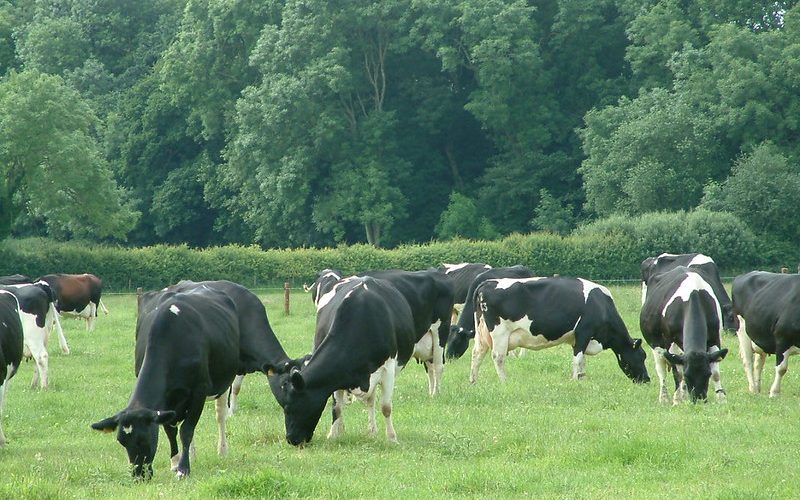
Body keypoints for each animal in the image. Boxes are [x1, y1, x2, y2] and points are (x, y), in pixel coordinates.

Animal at [92, 284, 239, 478]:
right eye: (122, 441)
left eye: (144, 439)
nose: (138, 475)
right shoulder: (167, 403)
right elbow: (171, 430)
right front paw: (175, 462)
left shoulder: (199, 391)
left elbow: (186, 430)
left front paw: (183, 469)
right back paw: (191, 455)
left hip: (223, 383)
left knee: (220, 415)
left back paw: (222, 450)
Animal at [266, 278, 416, 446]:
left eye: (290, 408)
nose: (291, 439)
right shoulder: (336, 377)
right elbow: (336, 408)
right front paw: (333, 435)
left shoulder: (388, 369)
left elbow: (386, 407)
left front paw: (392, 438)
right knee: (367, 401)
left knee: (371, 401)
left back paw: (372, 432)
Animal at [468, 276, 648, 384]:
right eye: (642, 356)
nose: (647, 380)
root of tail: (487, 283)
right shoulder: (584, 332)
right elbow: (577, 359)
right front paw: (575, 380)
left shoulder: (578, 338)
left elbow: (582, 360)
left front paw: (582, 378)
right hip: (500, 333)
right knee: (497, 357)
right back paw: (504, 381)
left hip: (482, 332)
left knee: (477, 354)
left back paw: (473, 381)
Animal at [640, 266, 728, 402]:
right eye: (688, 375)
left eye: (707, 374)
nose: (699, 399)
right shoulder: (670, 342)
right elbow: (678, 373)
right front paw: (677, 399)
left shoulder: (715, 338)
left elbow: (716, 372)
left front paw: (721, 398)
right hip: (656, 346)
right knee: (662, 371)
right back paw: (665, 398)